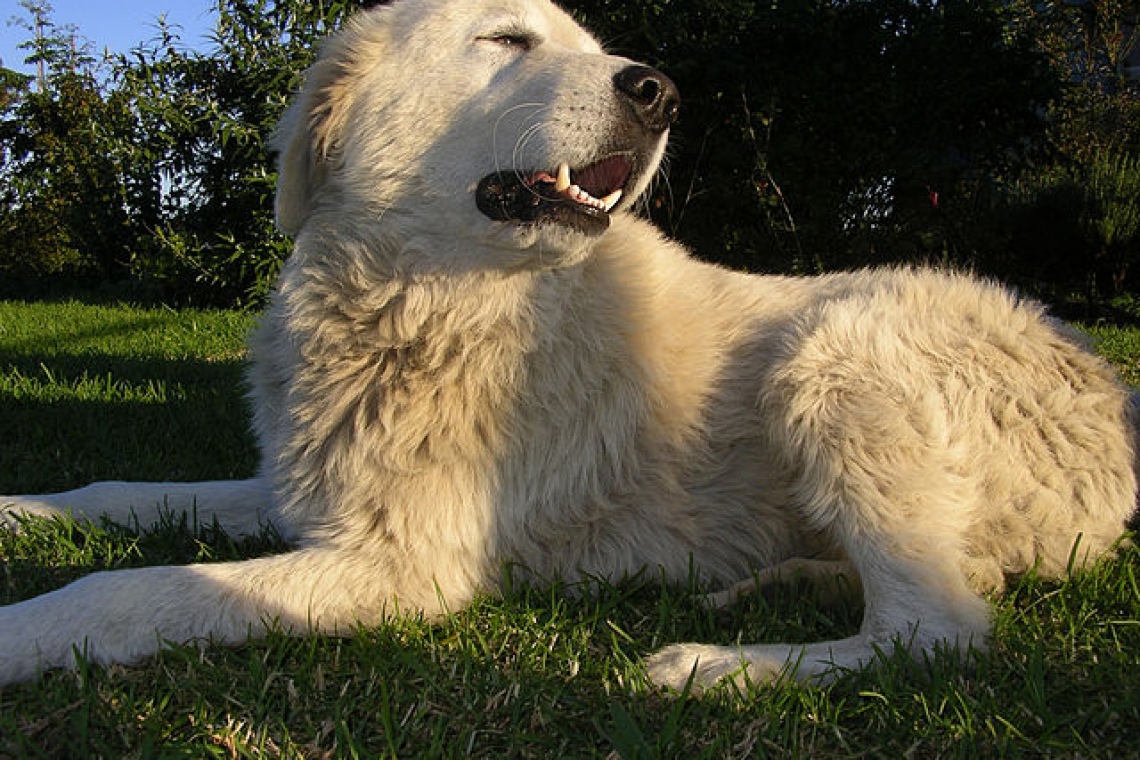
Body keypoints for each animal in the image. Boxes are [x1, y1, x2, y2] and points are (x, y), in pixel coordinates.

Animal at [2, 0, 1140, 692]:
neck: (420, 304)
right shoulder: (307, 495)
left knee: (935, 632)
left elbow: (138, 587)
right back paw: (764, 587)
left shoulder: (403, 565)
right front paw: (21, 511)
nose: (661, 92)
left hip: (834, 347)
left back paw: (717, 666)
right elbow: (120, 494)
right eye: (509, 40)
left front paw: (22, 633)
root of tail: (1109, 395)